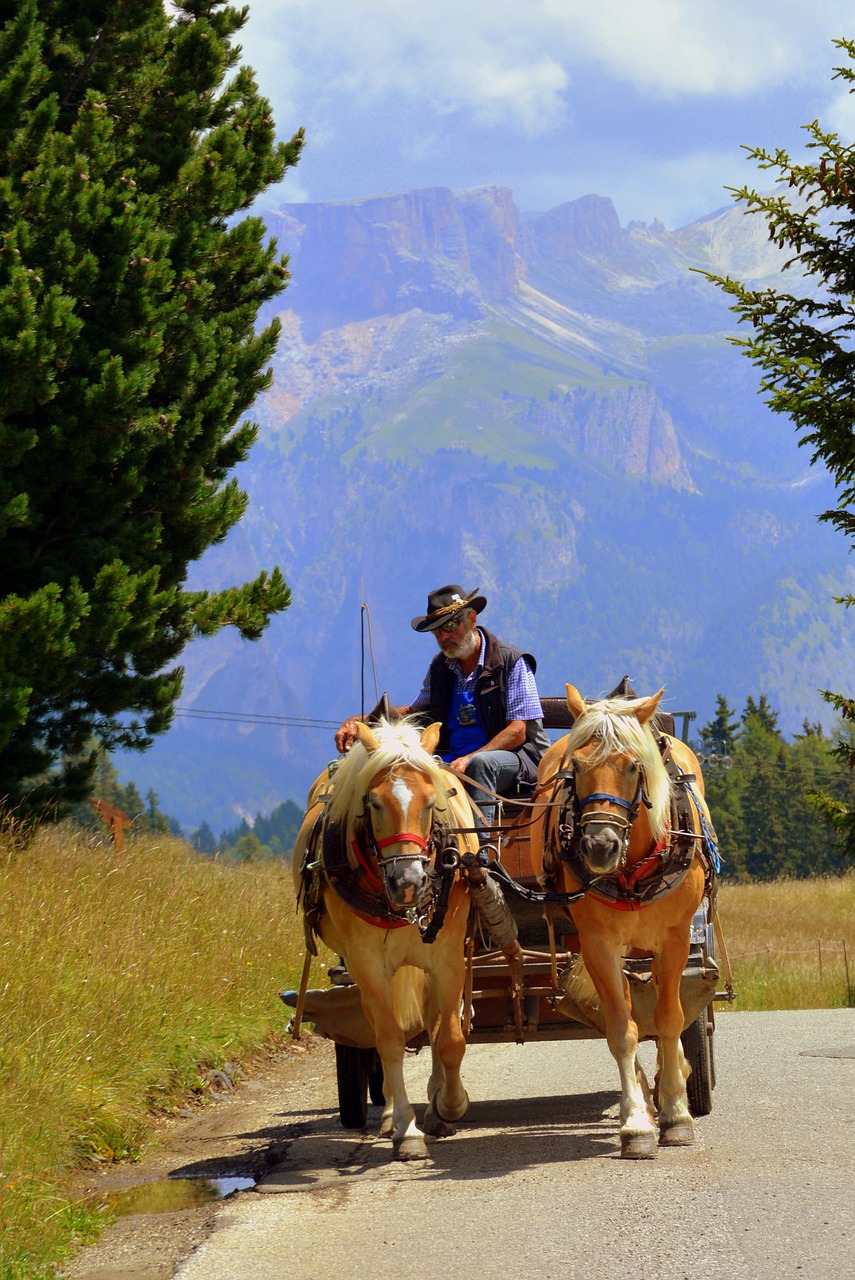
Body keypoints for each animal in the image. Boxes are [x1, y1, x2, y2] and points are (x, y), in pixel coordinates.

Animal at [294, 721, 481, 1162]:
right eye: (374, 803)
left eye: (432, 803)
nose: (408, 882)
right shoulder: (367, 965)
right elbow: (390, 1040)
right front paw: (406, 1130)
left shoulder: (447, 958)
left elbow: (450, 1038)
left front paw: (451, 1105)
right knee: (382, 1028)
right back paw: (393, 1114)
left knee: (433, 1022)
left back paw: (436, 1103)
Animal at [535, 691, 716, 1162]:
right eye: (577, 767)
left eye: (634, 766)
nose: (600, 845)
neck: (632, 869)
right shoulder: (598, 944)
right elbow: (621, 1028)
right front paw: (636, 1122)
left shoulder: (674, 940)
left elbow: (670, 1019)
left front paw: (676, 1115)